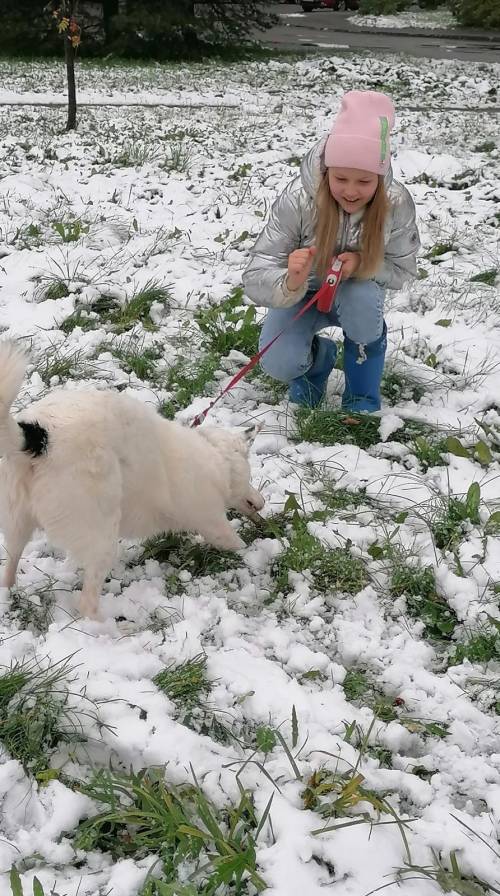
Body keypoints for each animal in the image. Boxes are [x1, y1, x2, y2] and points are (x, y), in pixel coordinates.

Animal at [0, 340, 266, 620]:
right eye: (250, 474)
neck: (214, 457)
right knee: (87, 603)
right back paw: (110, 627)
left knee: (9, 566)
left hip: (17, 523)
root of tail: (39, 437)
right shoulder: (214, 524)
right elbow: (238, 544)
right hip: (101, 534)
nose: (262, 502)